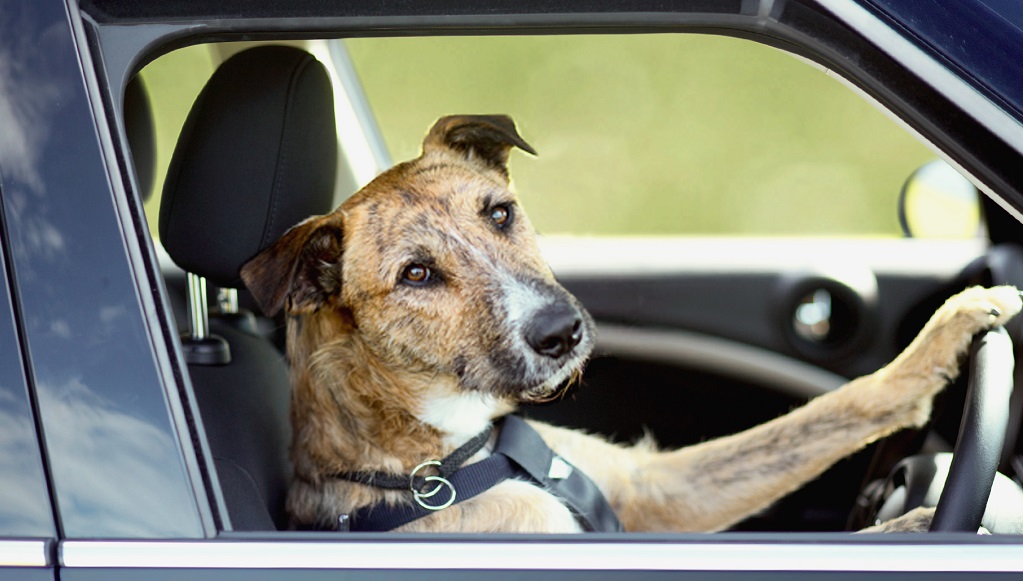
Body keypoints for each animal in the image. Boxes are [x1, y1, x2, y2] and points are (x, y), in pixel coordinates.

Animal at [241, 112, 1023, 531]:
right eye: (415, 274)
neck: (450, 461)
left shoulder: (656, 491)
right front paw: (928, 522)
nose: (561, 331)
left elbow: (827, 413)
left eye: (500, 212)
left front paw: (947, 330)